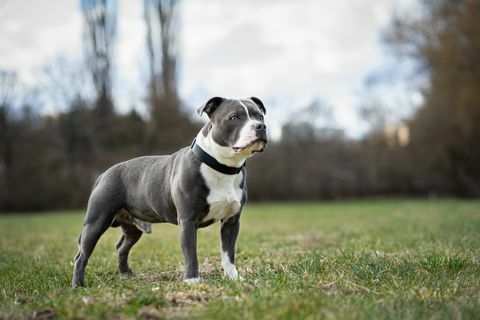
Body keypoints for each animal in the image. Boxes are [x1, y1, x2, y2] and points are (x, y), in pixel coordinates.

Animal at [71, 96, 268, 286]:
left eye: (260, 116)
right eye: (234, 117)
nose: (261, 126)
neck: (222, 167)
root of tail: (103, 174)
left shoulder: (231, 221)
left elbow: (228, 254)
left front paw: (233, 278)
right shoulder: (187, 221)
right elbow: (191, 253)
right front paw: (192, 280)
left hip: (133, 228)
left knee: (121, 247)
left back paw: (125, 275)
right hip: (96, 221)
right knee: (82, 255)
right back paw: (78, 285)